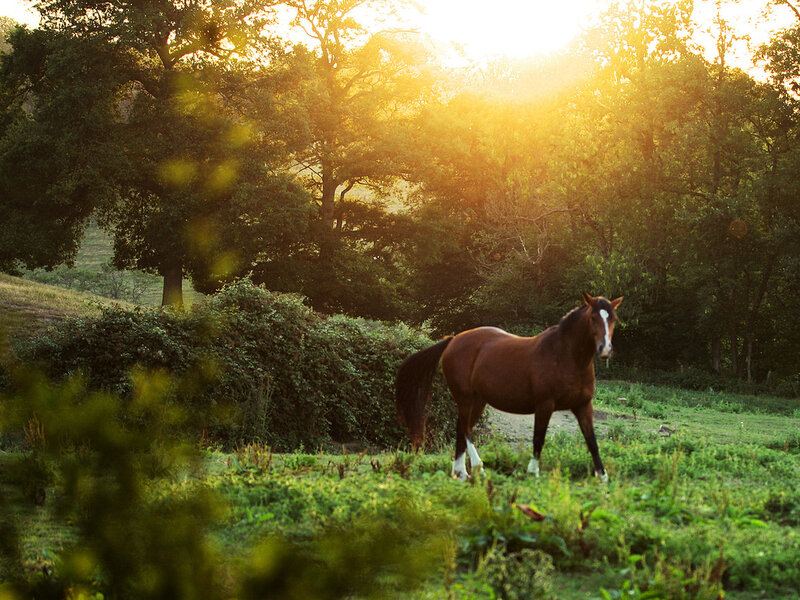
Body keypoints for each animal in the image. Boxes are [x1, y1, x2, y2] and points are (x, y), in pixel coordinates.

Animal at [395, 293, 623, 481]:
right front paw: (533, 472)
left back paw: (461, 473)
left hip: (478, 401)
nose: (605, 349)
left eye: (612, 319)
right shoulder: (544, 405)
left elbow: (592, 441)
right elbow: (538, 438)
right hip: (465, 398)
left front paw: (602, 477)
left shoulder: (583, 405)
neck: (566, 357)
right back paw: (478, 467)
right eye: (593, 318)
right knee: (466, 430)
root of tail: (453, 340)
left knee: (460, 429)